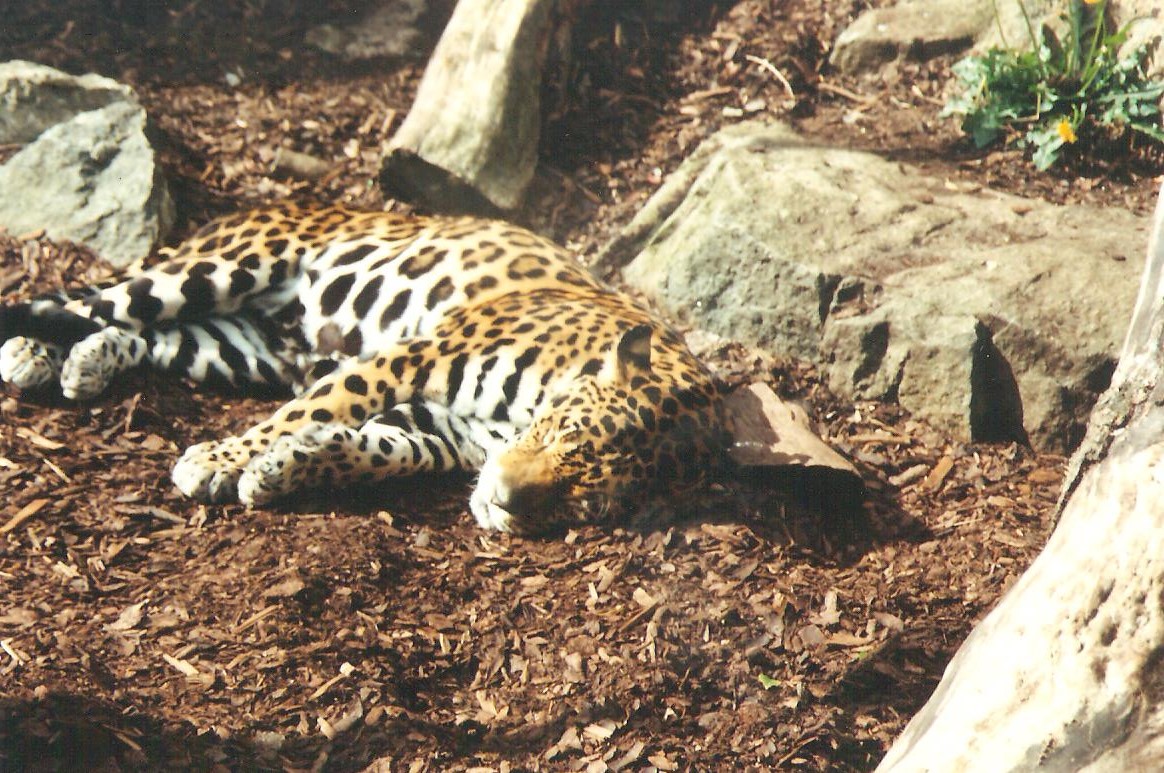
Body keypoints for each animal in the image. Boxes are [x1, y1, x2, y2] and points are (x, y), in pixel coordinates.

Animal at [0, 203, 732, 534]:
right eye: (563, 436)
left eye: (582, 506)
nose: (505, 503)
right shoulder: (424, 353)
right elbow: (318, 406)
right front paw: (219, 460)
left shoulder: (440, 429)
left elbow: (377, 451)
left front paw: (281, 469)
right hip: (221, 268)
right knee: (83, 301)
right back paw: (29, 351)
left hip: (239, 348)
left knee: (142, 333)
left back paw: (78, 363)